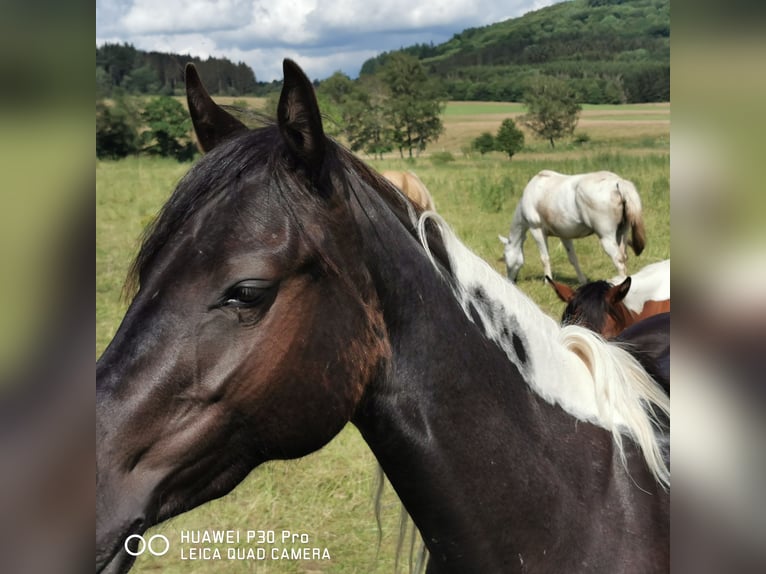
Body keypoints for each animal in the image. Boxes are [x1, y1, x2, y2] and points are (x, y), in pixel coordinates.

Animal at [498, 170, 648, 284]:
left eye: (505, 256)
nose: (510, 281)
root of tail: (618, 183)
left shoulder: (537, 230)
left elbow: (545, 258)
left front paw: (547, 281)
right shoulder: (564, 236)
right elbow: (573, 259)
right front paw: (582, 281)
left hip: (606, 237)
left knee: (618, 260)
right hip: (622, 234)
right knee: (624, 257)